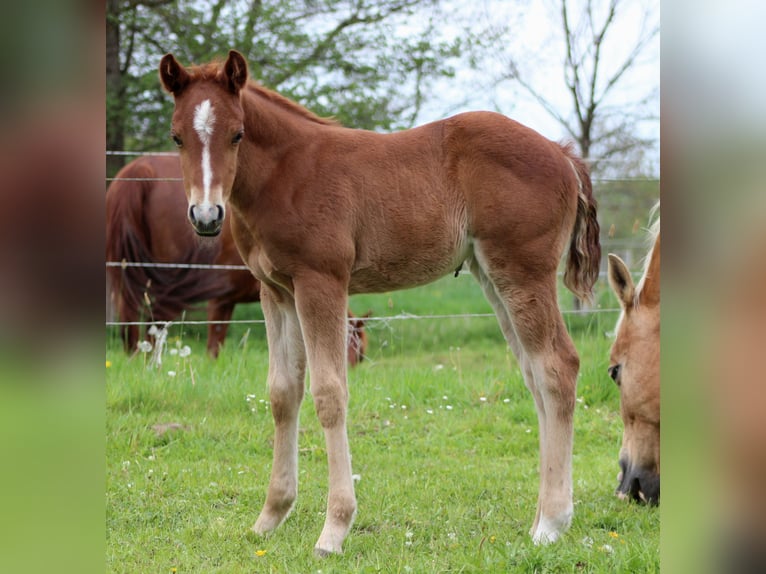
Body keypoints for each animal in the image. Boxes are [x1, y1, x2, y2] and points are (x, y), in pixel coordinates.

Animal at [159, 50, 601, 555]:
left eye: (237, 133)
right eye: (176, 136)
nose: (206, 216)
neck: (287, 174)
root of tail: (563, 154)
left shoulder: (322, 282)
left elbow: (329, 393)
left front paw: (334, 529)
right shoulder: (276, 292)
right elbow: (282, 393)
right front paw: (270, 517)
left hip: (523, 272)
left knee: (557, 366)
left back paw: (553, 522)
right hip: (493, 276)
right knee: (533, 373)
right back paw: (541, 518)